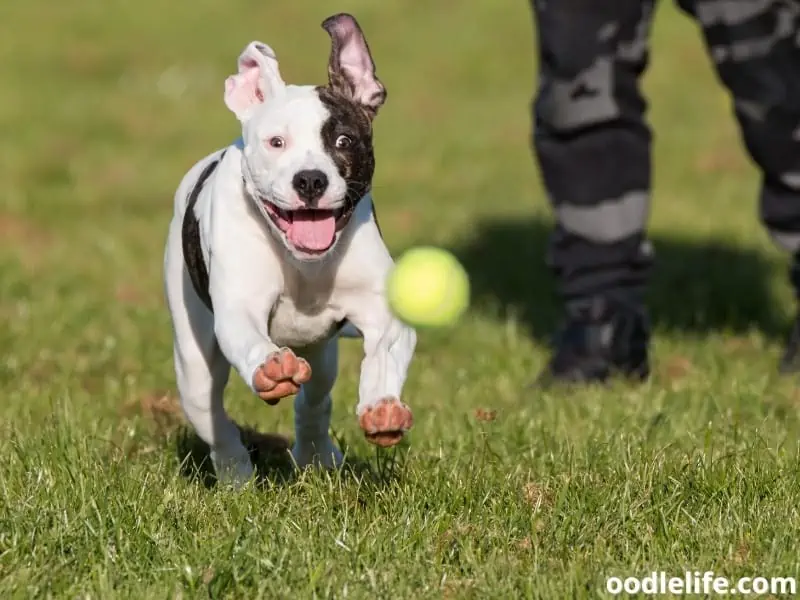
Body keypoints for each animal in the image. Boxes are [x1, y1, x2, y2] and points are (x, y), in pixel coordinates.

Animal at [160, 12, 416, 488]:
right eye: (276, 142)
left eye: (343, 141)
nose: (311, 179)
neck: (305, 264)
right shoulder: (238, 308)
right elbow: (248, 336)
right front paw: (271, 367)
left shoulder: (382, 311)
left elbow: (385, 350)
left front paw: (382, 407)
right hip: (193, 361)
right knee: (213, 417)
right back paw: (236, 476)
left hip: (321, 354)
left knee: (314, 401)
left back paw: (316, 454)